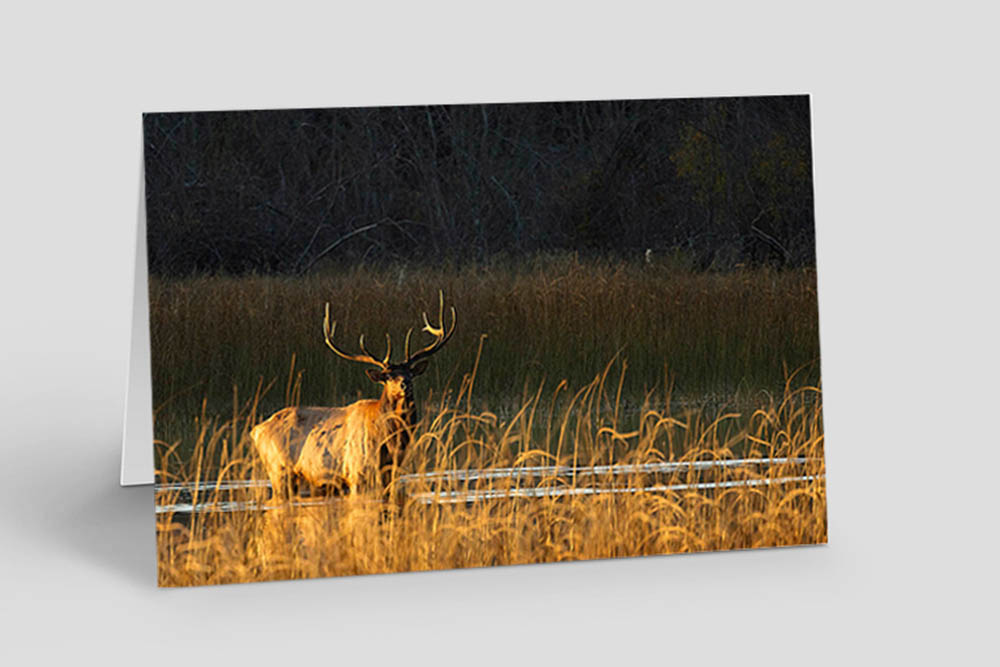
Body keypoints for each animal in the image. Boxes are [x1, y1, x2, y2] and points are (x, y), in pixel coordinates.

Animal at [250, 292, 456, 498]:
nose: (405, 384)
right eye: (388, 377)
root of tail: (256, 430)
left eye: (411, 373)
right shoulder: (358, 471)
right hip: (279, 469)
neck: (389, 439)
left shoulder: (391, 472)